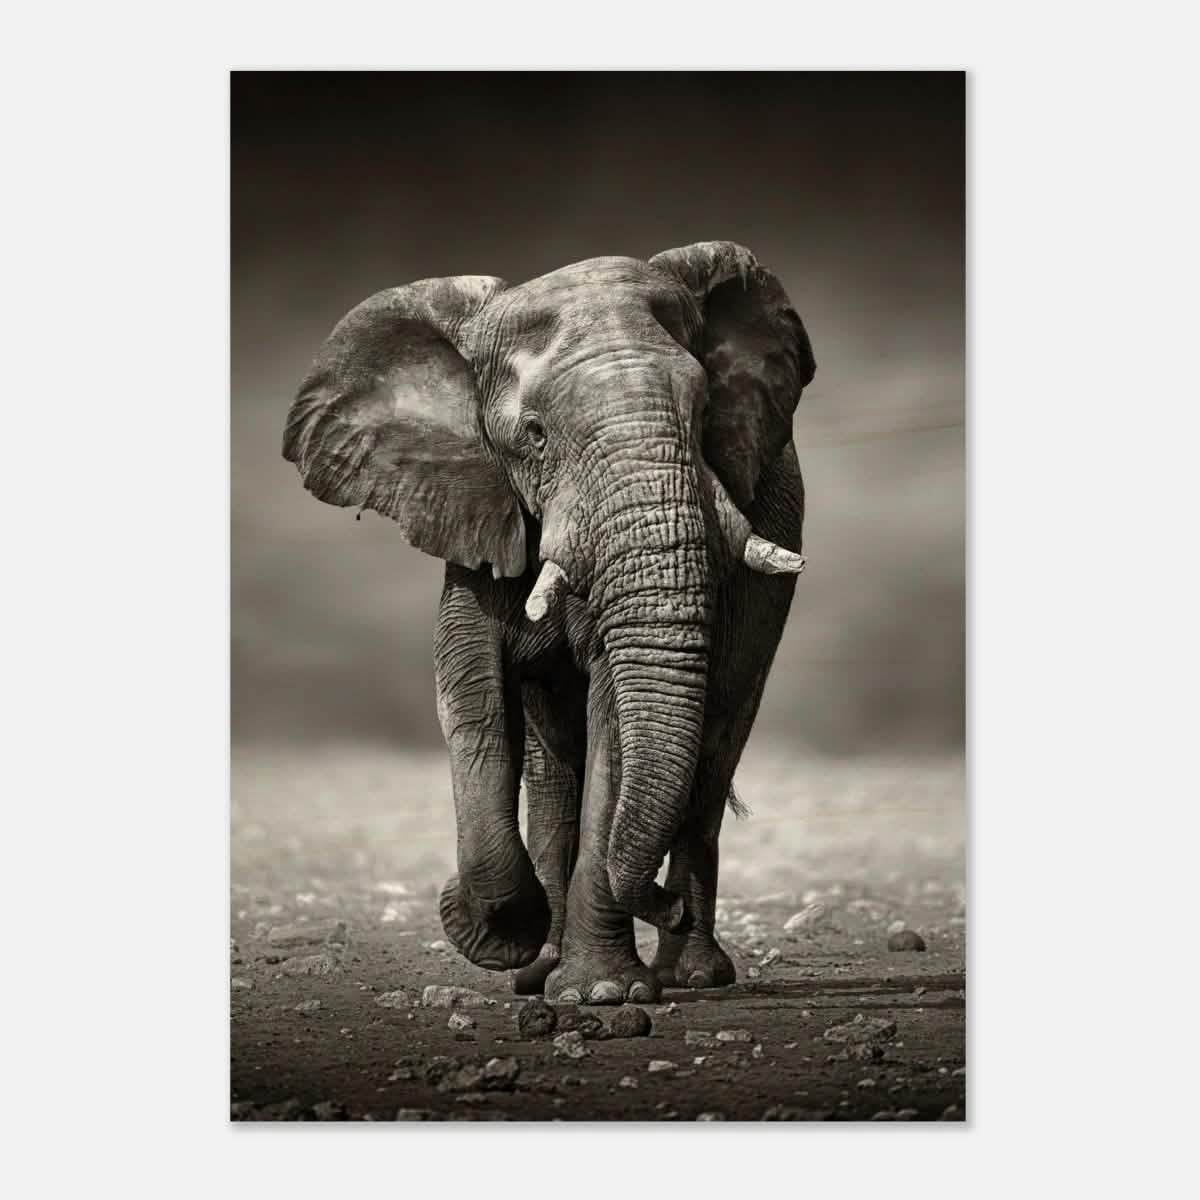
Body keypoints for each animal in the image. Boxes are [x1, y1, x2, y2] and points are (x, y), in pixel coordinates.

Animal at [282, 241, 815, 1004]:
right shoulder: (476, 509)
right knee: (554, 770)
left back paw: (690, 974)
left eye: (704, 411)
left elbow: (614, 716)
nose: (662, 904)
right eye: (533, 436)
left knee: (713, 749)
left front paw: (603, 994)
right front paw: (498, 934)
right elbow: (471, 695)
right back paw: (542, 970)